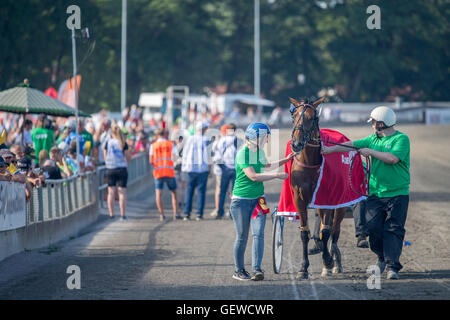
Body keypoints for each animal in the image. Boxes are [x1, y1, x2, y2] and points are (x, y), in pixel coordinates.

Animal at [288, 96, 344, 278]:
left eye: (312, 117)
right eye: (294, 116)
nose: (297, 143)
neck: (309, 165)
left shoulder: (324, 198)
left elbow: (325, 232)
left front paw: (328, 261)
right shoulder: (299, 198)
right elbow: (304, 232)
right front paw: (303, 268)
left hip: (339, 205)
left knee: (334, 231)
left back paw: (334, 262)